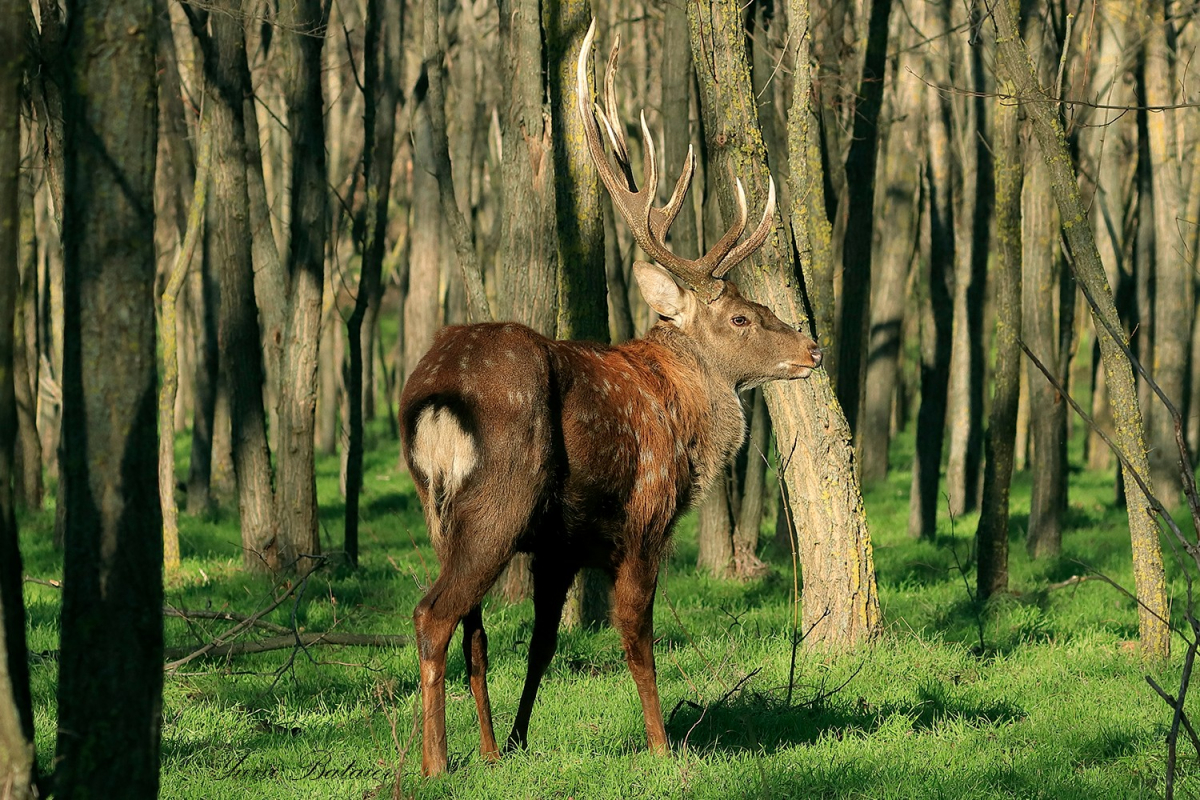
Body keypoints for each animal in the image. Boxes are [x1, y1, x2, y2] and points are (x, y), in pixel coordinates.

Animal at [398, 21, 820, 777]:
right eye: (742, 317)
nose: (812, 350)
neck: (682, 418)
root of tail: (434, 397)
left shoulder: (559, 544)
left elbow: (542, 643)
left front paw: (518, 741)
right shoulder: (645, 514)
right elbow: (636, 634)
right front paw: (662, 744)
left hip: (436, 505)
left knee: (473, 628)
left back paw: (485, 752)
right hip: (501, 494)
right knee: (433, 614)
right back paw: (436, 764)